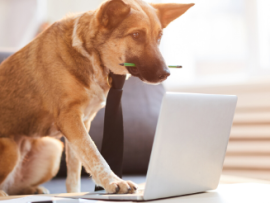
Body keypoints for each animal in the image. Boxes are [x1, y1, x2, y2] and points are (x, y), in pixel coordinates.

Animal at [0, 0, 194, 197]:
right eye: (136, 35)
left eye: (159, 37)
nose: (166, 73)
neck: (91, 56)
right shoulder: (69, 119)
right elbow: (93, 153)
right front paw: (113, 181)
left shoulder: (82, 124)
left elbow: (76, 168)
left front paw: (74, 194)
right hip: (11, 148)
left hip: (52, 148)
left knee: (18, 187)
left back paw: (36, 190)